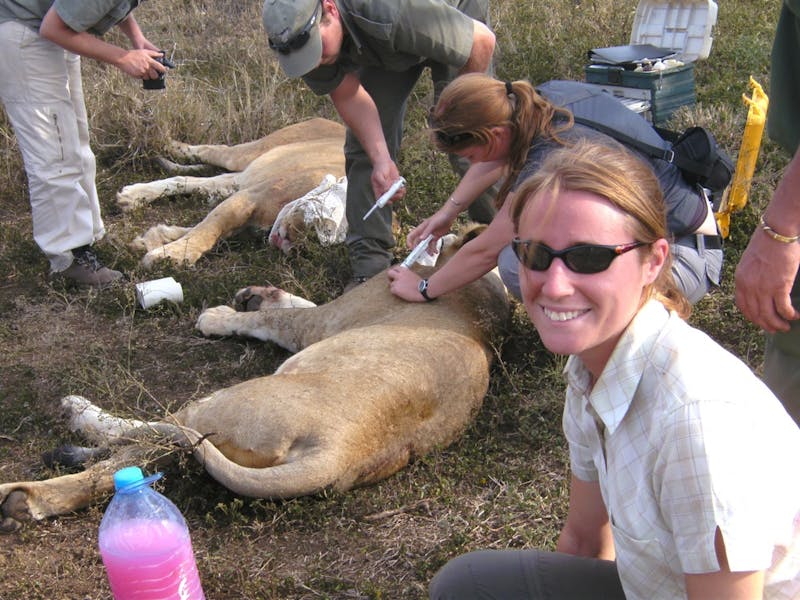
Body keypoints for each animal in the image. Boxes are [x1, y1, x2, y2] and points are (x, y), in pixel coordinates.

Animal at [120, 117, 346, 268]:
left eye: (327, 240)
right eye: (317, 222)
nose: (302, 246)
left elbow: (200, 228)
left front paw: (153, 239)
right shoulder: (250, 197)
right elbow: (206, 230)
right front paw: (167, 258)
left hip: (240, 178)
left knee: (193, 181)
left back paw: (131, 196)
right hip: (247, 154)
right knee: (211, 150)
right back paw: (163, 140)